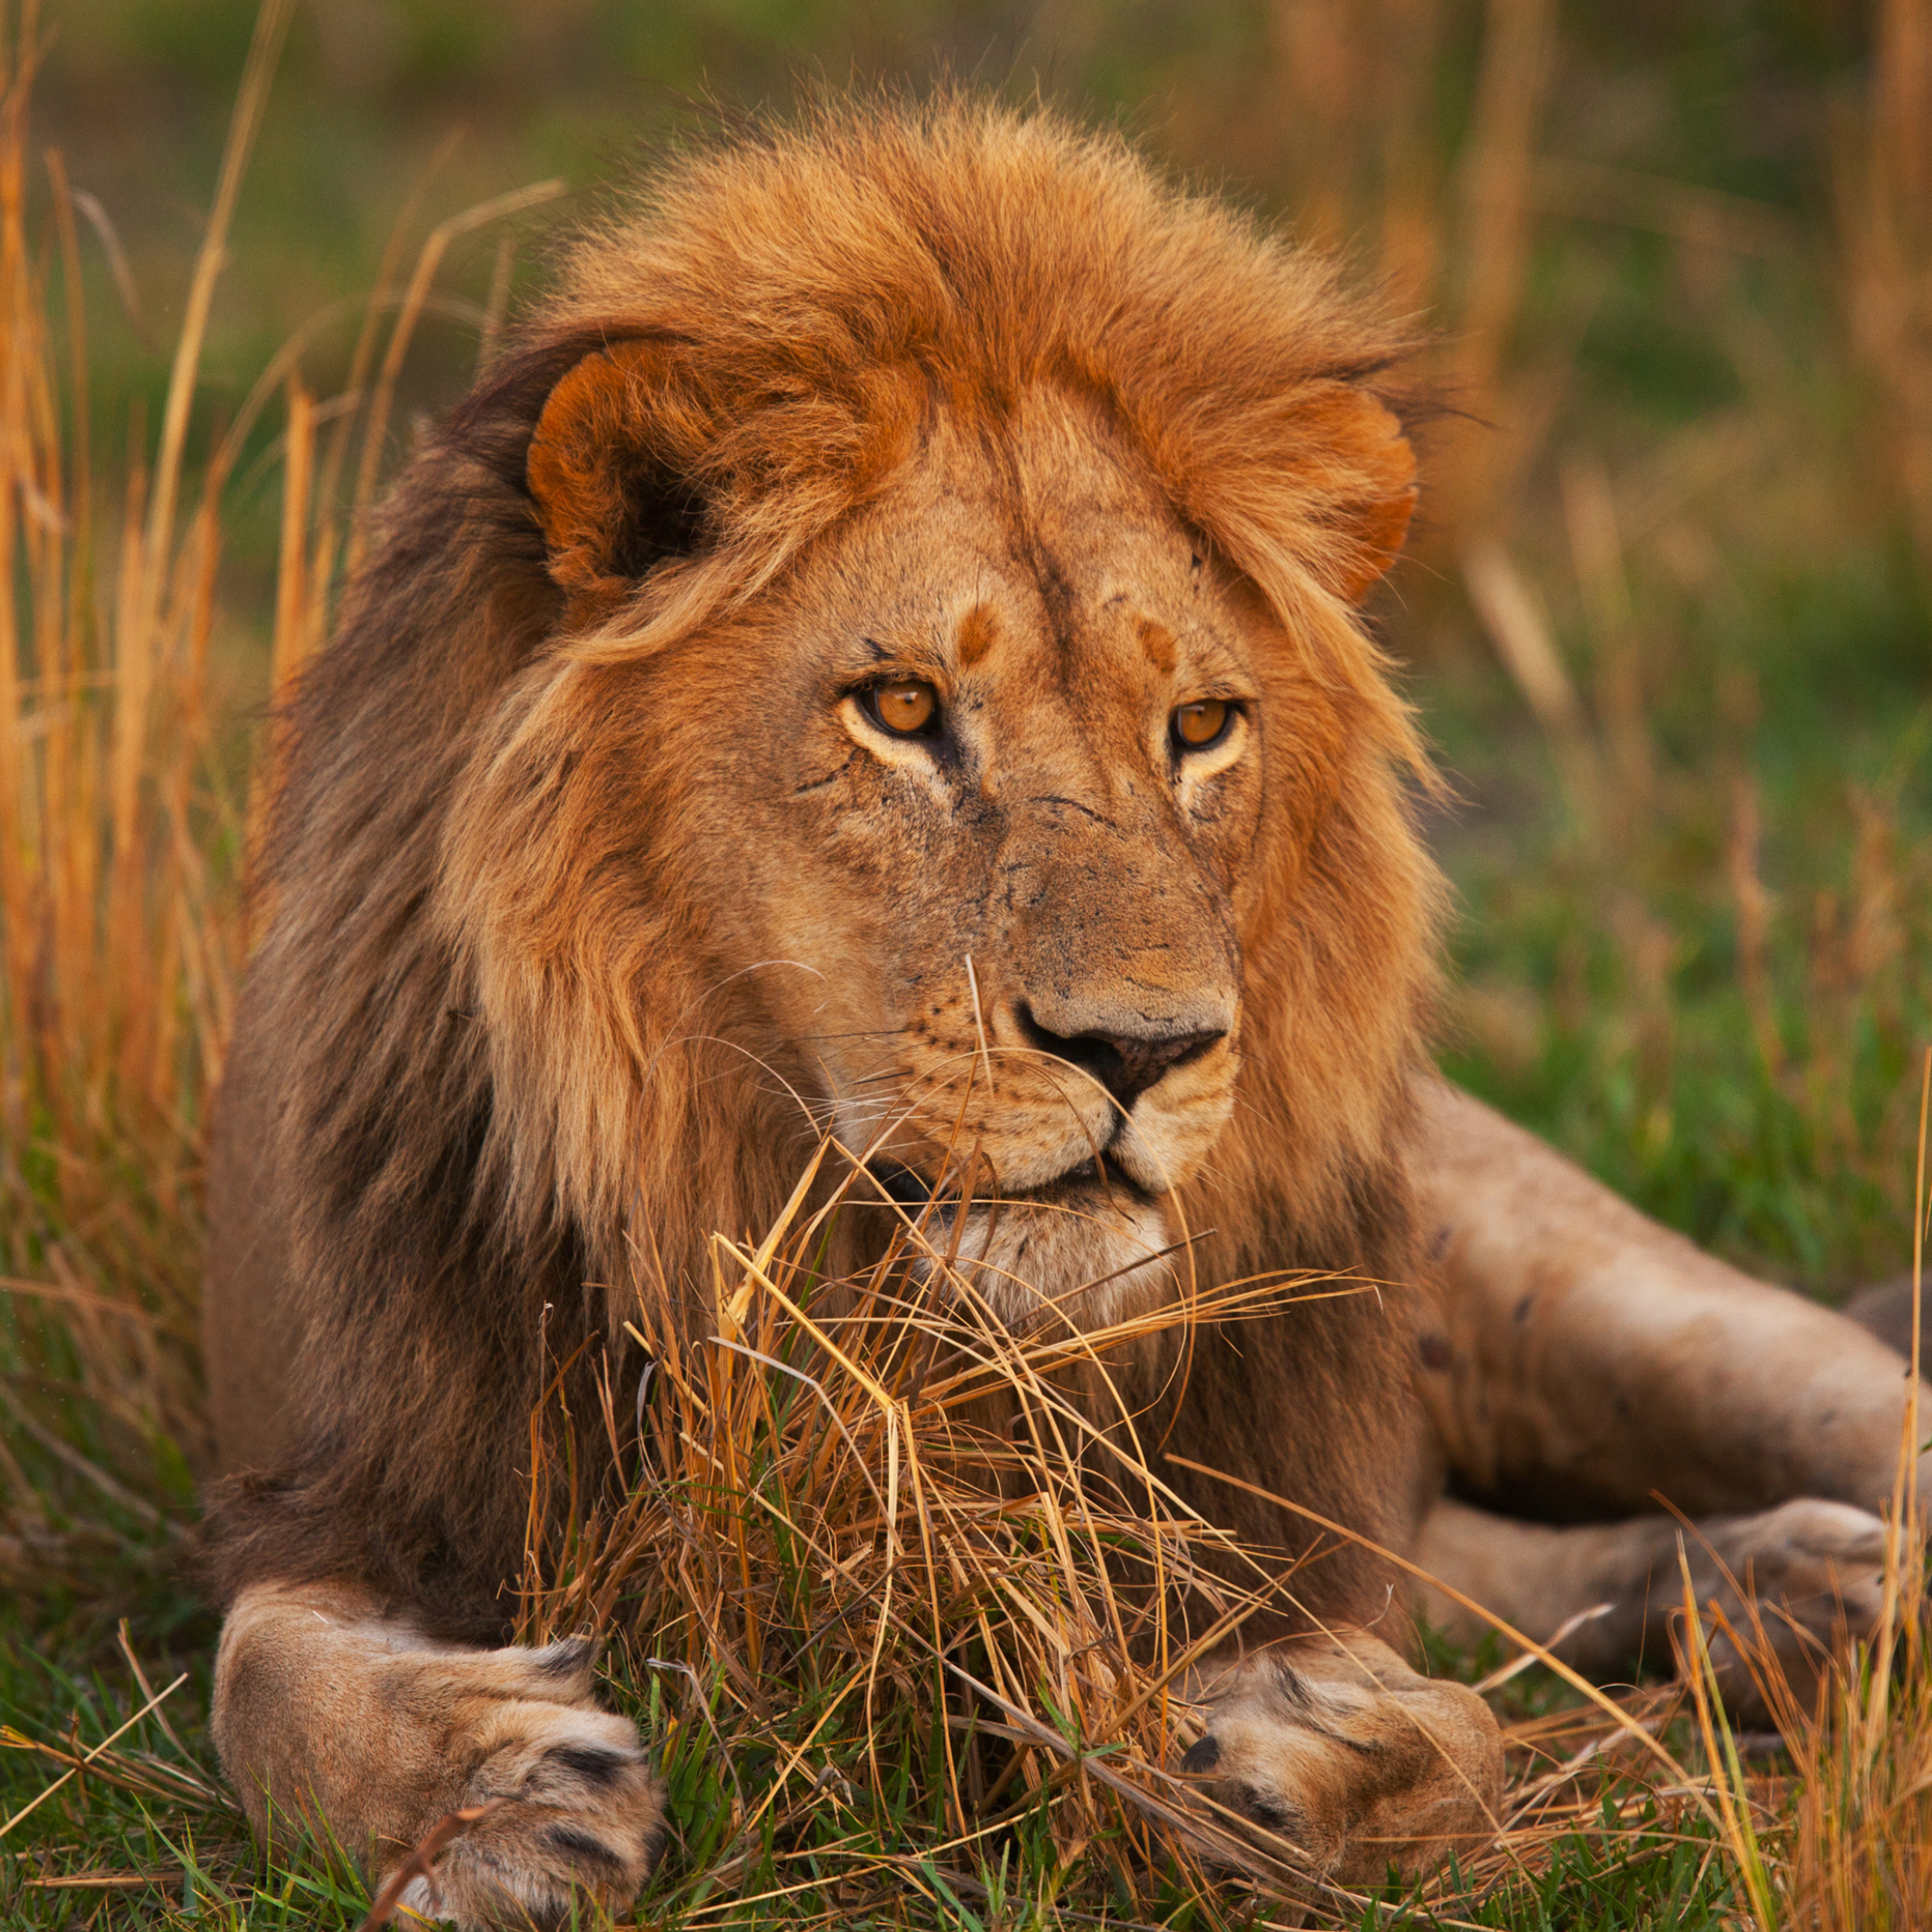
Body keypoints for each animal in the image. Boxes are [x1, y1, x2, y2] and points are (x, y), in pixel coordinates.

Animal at [201, 97, 1919, 1927]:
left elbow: (1443, 1729)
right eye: (899, 708)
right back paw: (1786, 1598)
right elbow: (265, 1676)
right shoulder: (356, 1483)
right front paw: (499, 1802)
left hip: (1622, 1302)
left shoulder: (1276, 1519)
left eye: (1202, 726)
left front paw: (1296, 1759)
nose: (1144, 1049)